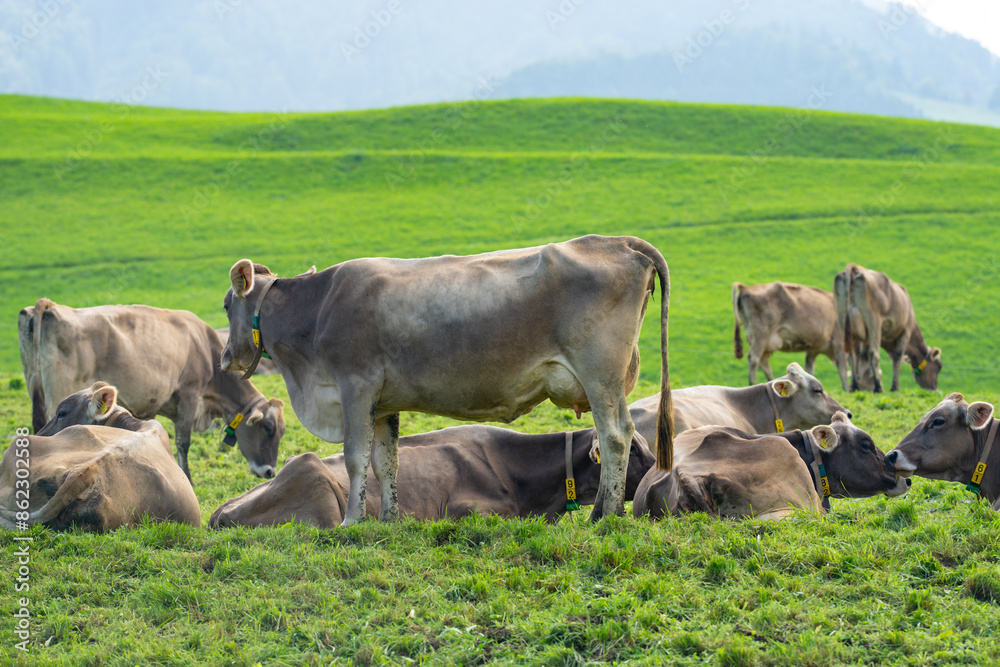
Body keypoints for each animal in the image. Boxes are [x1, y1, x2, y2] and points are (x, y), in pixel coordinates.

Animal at [18, 299, 286, 481]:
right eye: (268, 429)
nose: (270, 472)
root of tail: (50, 306)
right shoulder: (189, 395)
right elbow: (183, 443)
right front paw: (186, 478)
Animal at [220, 235, 675, 526]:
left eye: (226, 305)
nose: (225, 358)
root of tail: (616, 241)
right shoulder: (383, 402)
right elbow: (387, 462)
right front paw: (388, 521)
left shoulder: (355, 386)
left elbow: (355, 458)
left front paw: (352, 522)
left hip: (601, 375)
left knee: (614, 435)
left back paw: (606, 515)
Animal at [834, 264, 941, 392]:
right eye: (938, 366)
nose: (935, 389)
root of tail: (856, 268)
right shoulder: (905, 332)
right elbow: (897, 358)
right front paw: (895, 388)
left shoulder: (866, 338)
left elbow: (863, 358)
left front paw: (859, 384)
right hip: (873, 320)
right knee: (874, 354)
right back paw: (878, 387)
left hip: (842, 317)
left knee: (850, 354)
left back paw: (855, 385)